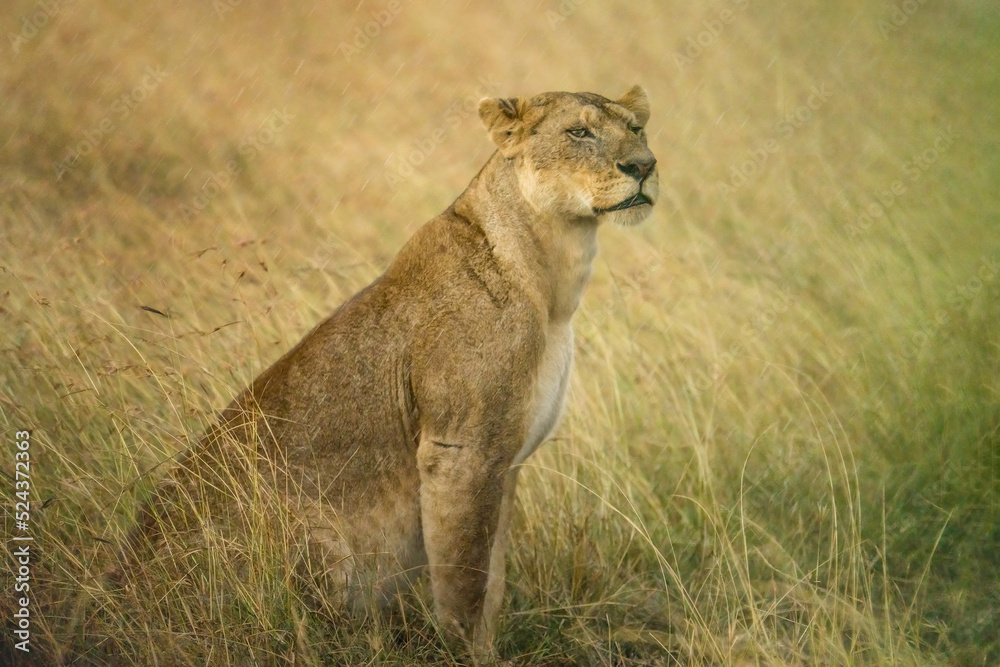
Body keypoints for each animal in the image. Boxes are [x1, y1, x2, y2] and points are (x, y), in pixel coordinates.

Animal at [122, 85, 658, 662]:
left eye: (637, 129)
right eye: (579, 132)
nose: (645, 166)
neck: (554, 277)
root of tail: (116, 591)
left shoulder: (506, 461)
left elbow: (491, 583)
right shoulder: (461, 452)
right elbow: (465, 583)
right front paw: (469, 657)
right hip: (317, 536)